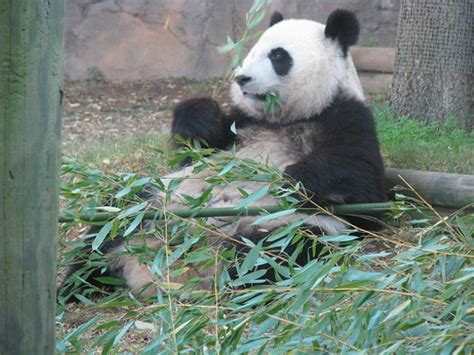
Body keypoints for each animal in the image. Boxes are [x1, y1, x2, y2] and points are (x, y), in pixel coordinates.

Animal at [60, 9, 386, 300]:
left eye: (278, 56)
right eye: (252, 51)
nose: (242, 78)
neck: (287, 118)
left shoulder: (347, 118)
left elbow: (364, 188)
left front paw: (294, 178)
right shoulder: (239, 125)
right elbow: (194, 149)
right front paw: (199, 119)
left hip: (286, 225)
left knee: (273, 251)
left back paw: (233, 278)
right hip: (157, 200)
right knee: (110, 223)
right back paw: (77, 285)